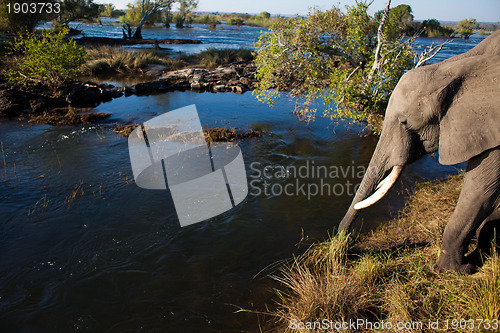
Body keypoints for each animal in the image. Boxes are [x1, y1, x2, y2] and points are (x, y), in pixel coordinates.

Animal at [338, 29, 498, 272]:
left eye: (405, 122)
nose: (344, 247)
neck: (453, 67)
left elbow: (480, 188)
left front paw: (454, 270)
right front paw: (481, 254)